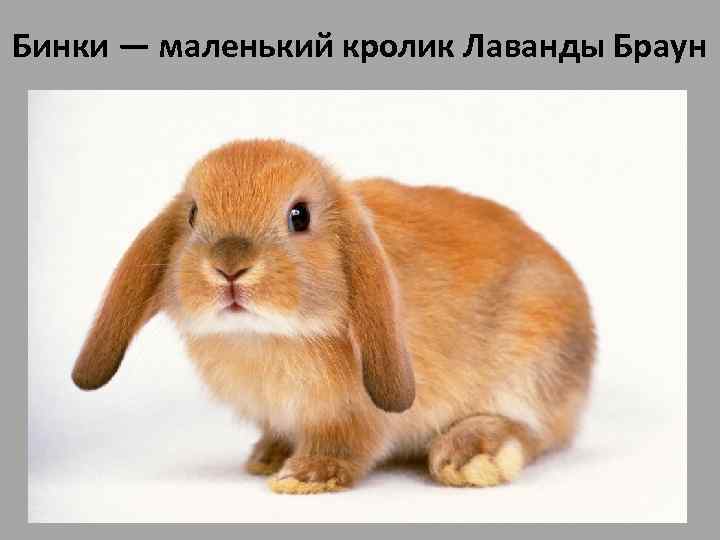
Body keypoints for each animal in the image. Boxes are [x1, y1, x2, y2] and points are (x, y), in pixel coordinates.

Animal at [72, 139, 595, 494]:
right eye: (193, 215)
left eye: (299, 216)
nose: (229, 267)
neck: (264, 337)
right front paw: (269, 457)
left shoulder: (354, 416)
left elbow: (346, 445)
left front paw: (304, 477)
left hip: (532, 359)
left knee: (532, 431)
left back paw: (468, 456)